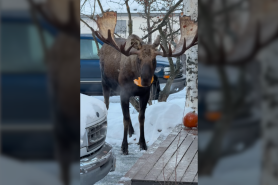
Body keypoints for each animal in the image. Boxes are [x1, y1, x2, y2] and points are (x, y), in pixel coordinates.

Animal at [92, 10, 198, 154]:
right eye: (139, 59)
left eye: (154, 60)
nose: (146, 80)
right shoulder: (124, 92)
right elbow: (125, 118)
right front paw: (124, 146)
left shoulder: (145, 94)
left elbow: (141, 117)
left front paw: (142, 143)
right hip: (105, 83)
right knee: (107, 105)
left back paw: (131, 131)